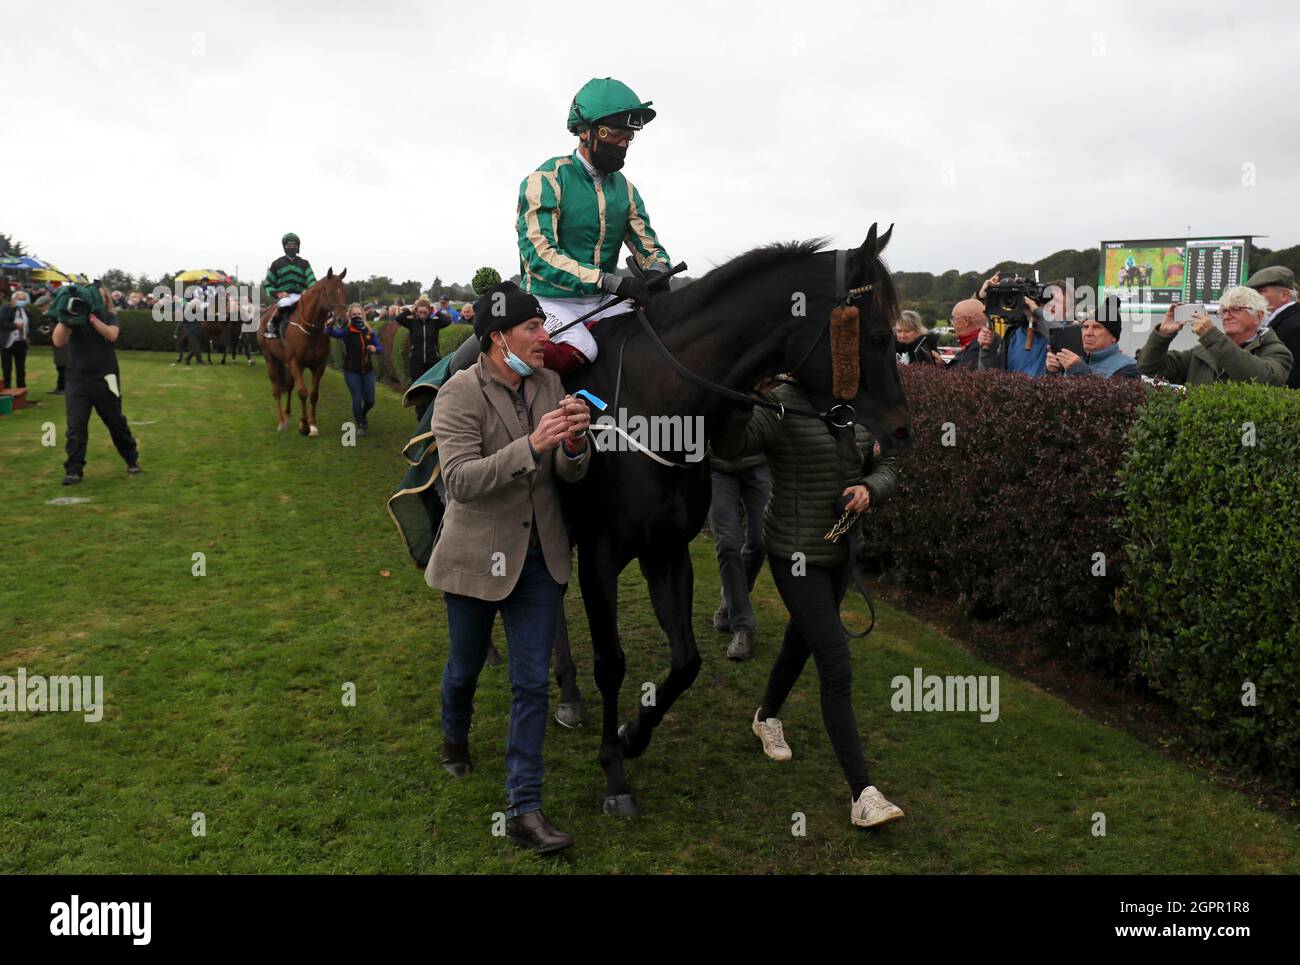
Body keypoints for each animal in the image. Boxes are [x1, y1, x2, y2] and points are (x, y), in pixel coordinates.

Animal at [252, 267, 345, 434]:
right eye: (329, 293)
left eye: (344, 292)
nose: (343, 320)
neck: (311, 331)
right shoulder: (296, 362)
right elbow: (302, 392)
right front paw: (304, 425)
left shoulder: (318, 365)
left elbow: (314, 394)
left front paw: (312, 425)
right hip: (270, 357)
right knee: (276, 389)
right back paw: (281, 422)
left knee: (289, 385)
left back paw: (287, 416)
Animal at [559, 221, 915, 816]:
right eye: (881, 336)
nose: (904, 429)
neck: (657, 405)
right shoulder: (600, 552)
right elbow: (610, 661)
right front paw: (613, 771)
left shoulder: (667, 549)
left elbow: (687, 662)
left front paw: (633, 736)